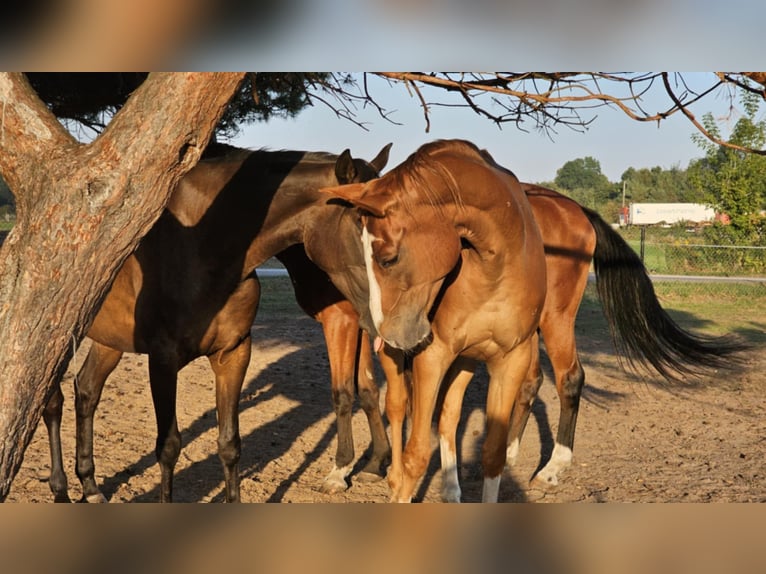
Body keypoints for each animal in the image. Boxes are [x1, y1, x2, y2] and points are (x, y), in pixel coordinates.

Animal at [41, 143, 390, 504]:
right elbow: (169, 446)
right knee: (52, 404)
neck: (202, 247)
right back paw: (60, 489)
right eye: (360, 223)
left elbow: (229, 444)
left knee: (87, 391)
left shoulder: (233, 354)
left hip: (107, 341)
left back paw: (90, 486)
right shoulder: (163, 360)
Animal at [320, 140, 548, 504]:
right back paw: (391, 475)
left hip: (465, 360)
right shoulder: (432, 356)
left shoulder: (511, 359)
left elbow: (492, 454)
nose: (385, 333)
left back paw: (451, 490)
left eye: (388, 259)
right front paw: (400, 488)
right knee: (397, 406)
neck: (495, 268)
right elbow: (416, 454)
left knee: (447, 417)